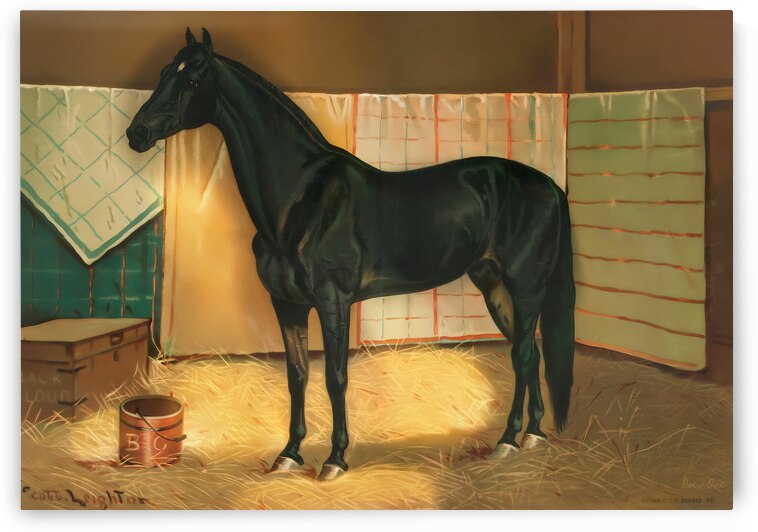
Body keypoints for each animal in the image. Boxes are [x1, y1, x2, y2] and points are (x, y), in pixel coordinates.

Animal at [127, 28, 576, 481]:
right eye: (164, 73)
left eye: (191, 80)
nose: (137, 133)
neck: (300, 199)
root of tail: (551, 185)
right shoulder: (286, 305)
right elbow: (296, 377)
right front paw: (288, 454)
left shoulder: (332, 302)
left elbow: (335, 377)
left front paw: (335, 459)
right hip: (494, 286)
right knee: (530, 354)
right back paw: (531, 434)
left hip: (524, 288)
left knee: (522, 354)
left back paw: (510, 440)